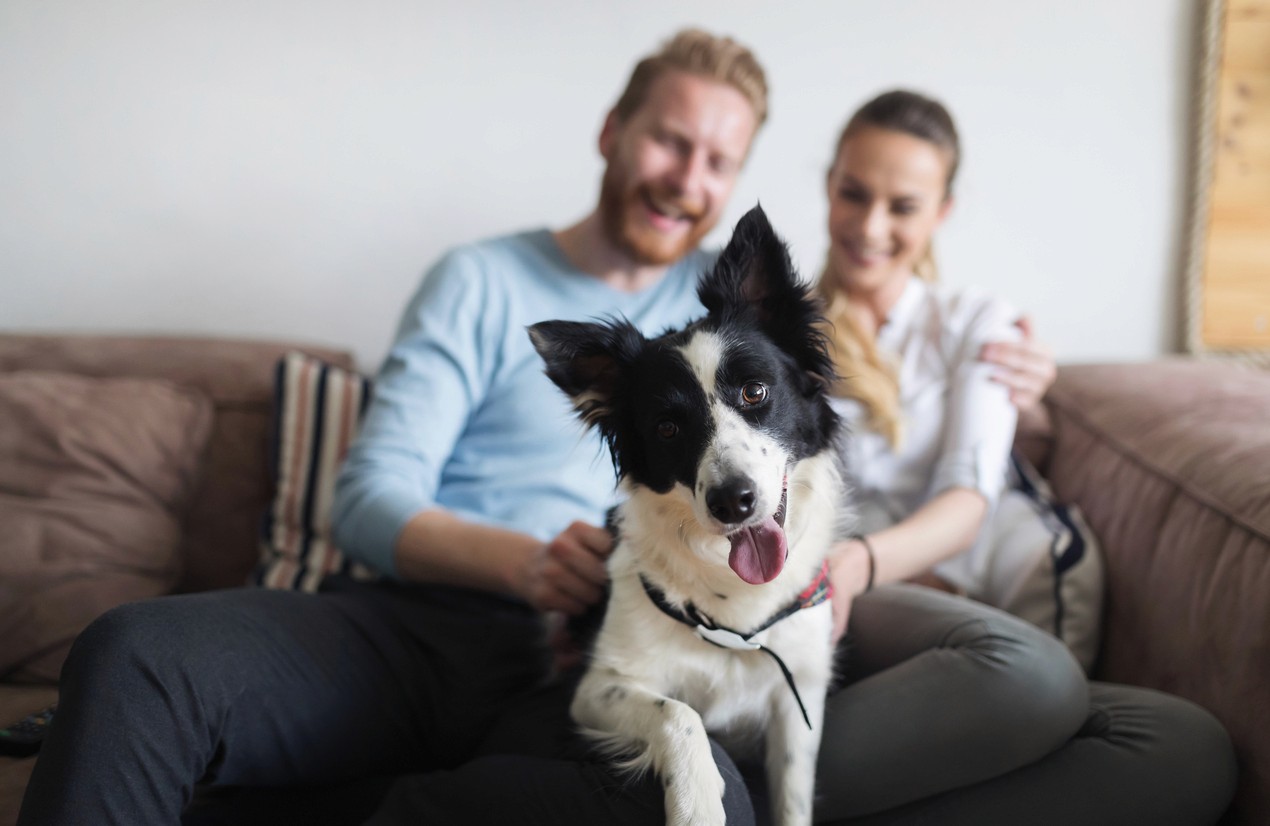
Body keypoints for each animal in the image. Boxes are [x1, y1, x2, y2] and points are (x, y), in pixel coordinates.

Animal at [525, 205, 843, 823]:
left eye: (755, 391)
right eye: (668, 428)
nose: (732, 501)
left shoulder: (799, 700)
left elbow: (793, 797)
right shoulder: (598, 687)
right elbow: (680, 714)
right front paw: (697, 804)